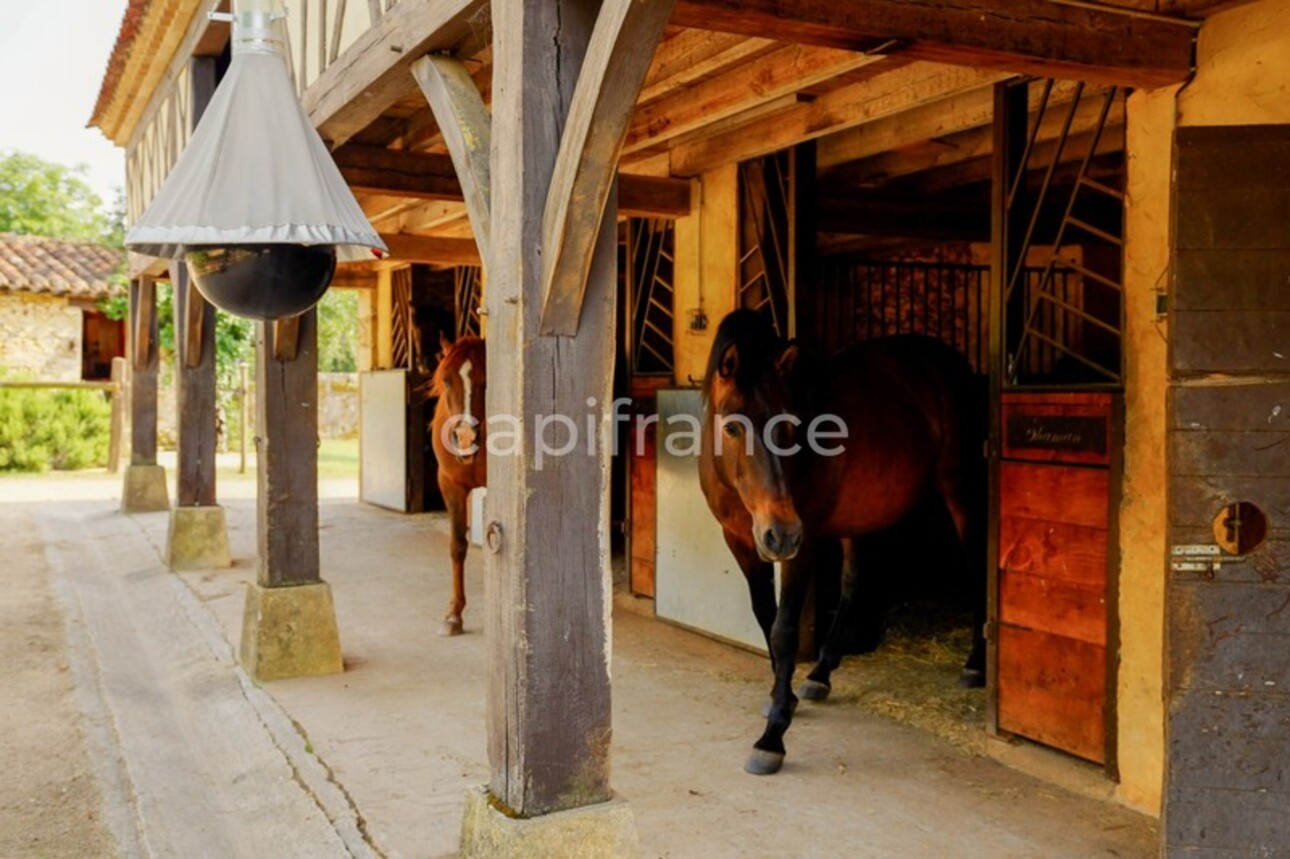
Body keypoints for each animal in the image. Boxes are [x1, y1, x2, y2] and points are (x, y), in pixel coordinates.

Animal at [701, 309, 980, 773]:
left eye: (790, 424)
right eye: (734, 424)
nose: (781, 532)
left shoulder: (803, 544)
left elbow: (784, 630)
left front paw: (773, 736)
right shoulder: (740, 542)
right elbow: (764, 616)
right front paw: (783, 695)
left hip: (958, 488)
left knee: (976, 568)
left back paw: (976, 664)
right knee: (854, 583)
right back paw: (821, 673)